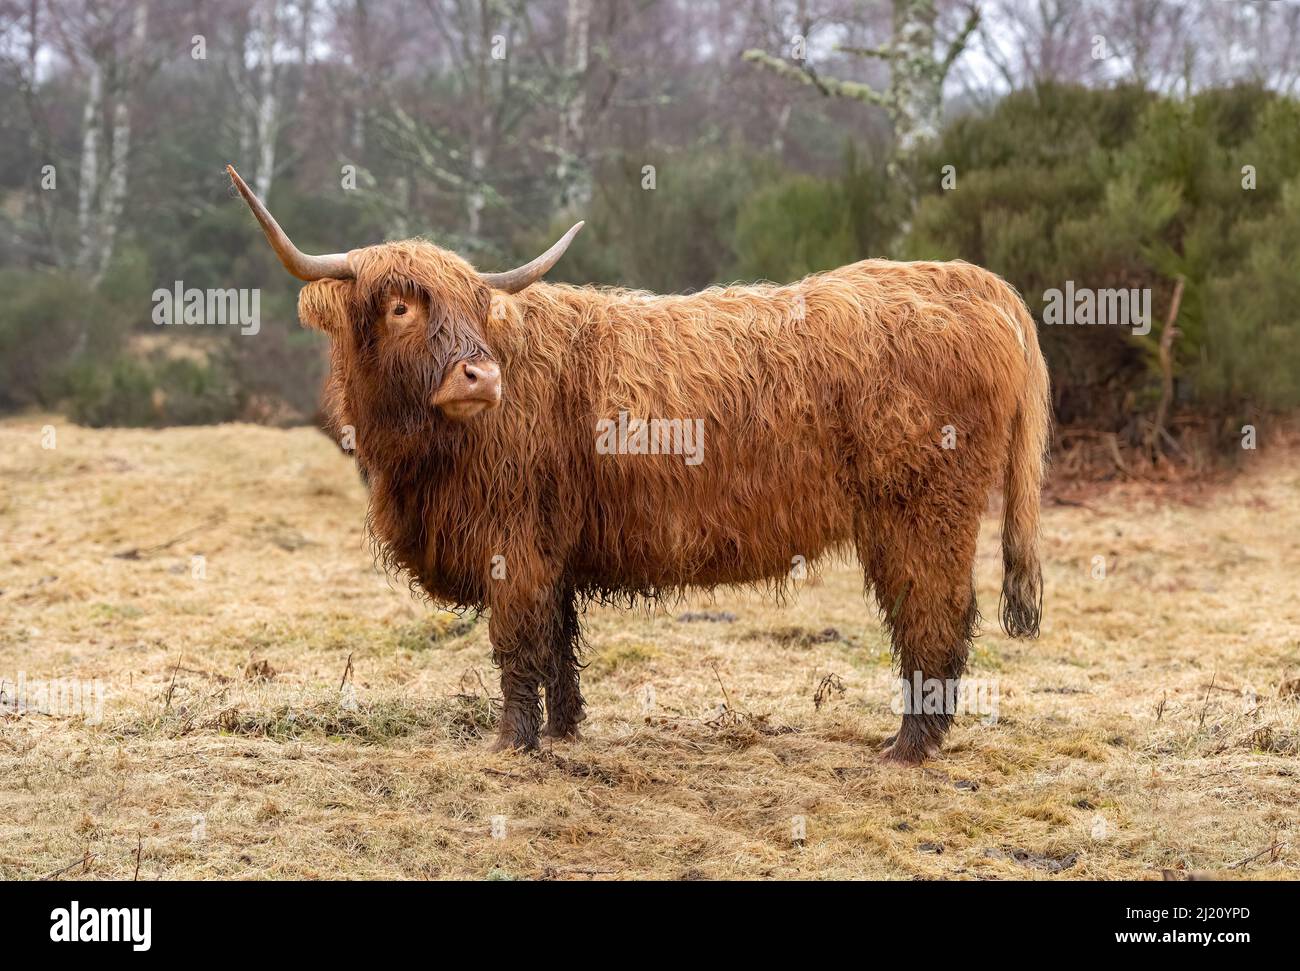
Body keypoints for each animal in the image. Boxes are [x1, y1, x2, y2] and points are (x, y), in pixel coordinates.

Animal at [227, 164, 1050, 764]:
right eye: (400, 306)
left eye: (475, 306)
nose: (481, 377)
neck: (419, 459)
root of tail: (971, 280)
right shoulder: (551, 544)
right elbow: (558, 643)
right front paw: (563, 731)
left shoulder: (511, 540)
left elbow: (516, 642)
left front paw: (511, 743)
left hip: (923, 511)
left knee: (936, 615)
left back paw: (908, 746)